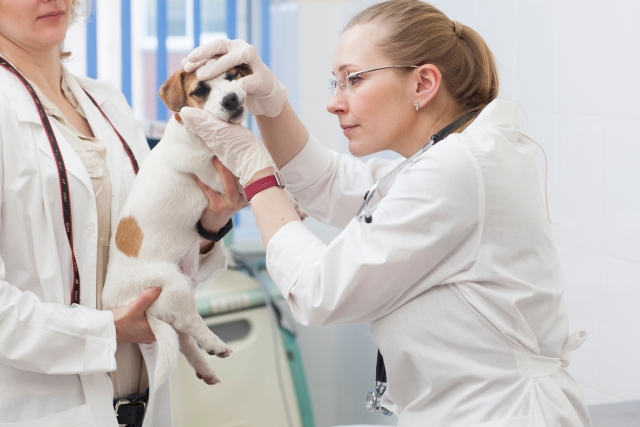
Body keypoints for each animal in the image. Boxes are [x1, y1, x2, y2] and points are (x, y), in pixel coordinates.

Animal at [101, 60, 254, 392]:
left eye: (232, 75)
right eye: (200, 90)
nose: (231, 100)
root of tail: (115, 301)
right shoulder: (216, 175)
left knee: (183, 338)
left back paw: (205, 366)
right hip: (175, 284)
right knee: (188, 324)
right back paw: (215, 343)